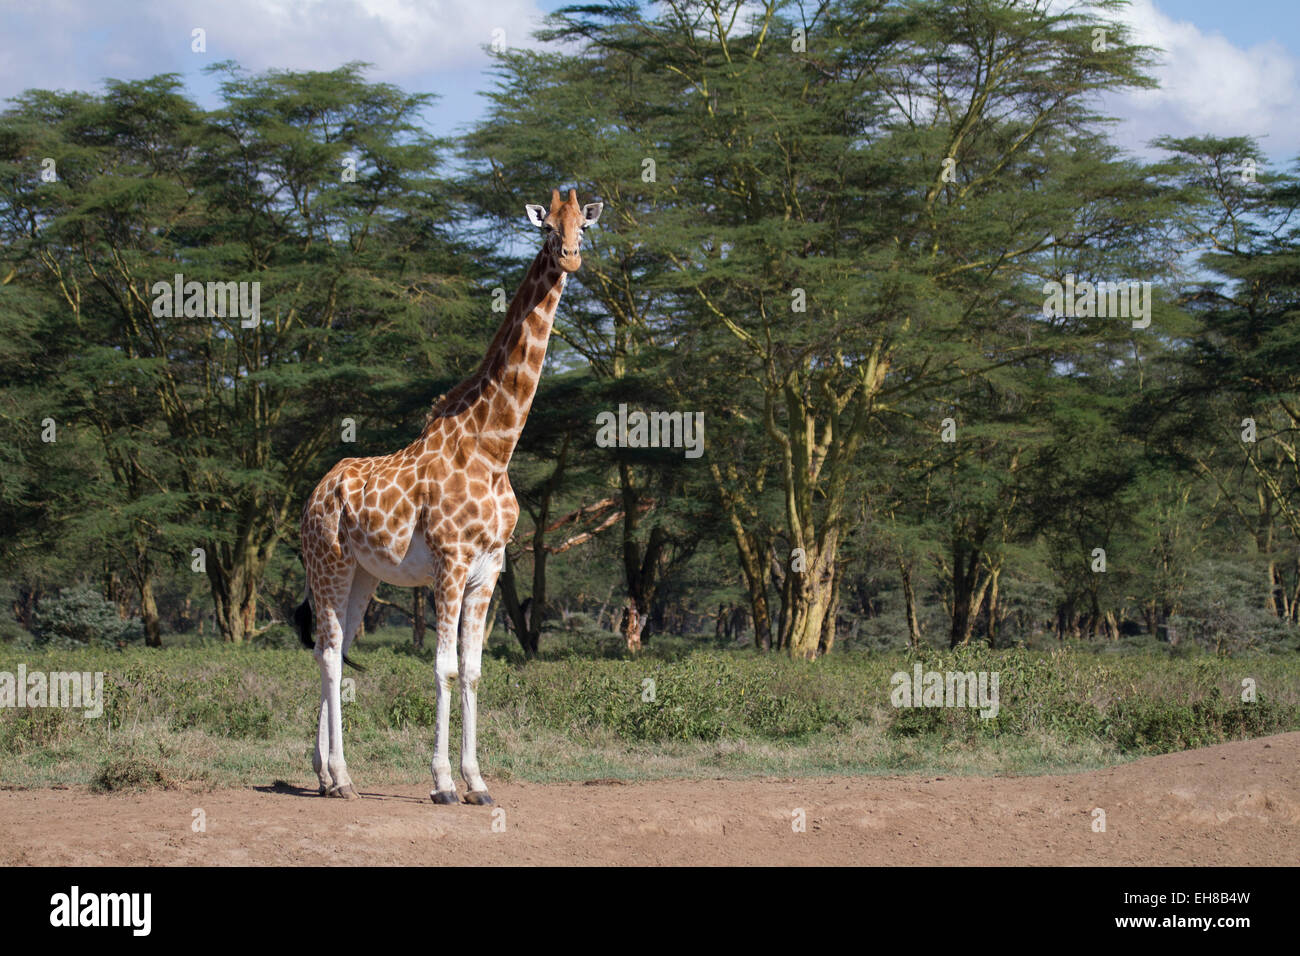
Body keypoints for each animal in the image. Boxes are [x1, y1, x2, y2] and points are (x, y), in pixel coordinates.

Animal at [292, 187, 600, 801]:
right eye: (546, 227)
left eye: (584, 225)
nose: (571, 257)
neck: (493, 449)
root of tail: (314, 493)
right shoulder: (451, 564)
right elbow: (445, 668)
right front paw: (441, 783)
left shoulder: (489, 569)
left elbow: (475, 670)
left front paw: (477, 781)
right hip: (327, 563)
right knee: (332, 653)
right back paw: (342, 778)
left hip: (363, 575)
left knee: (330, 647)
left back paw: (324, 775)